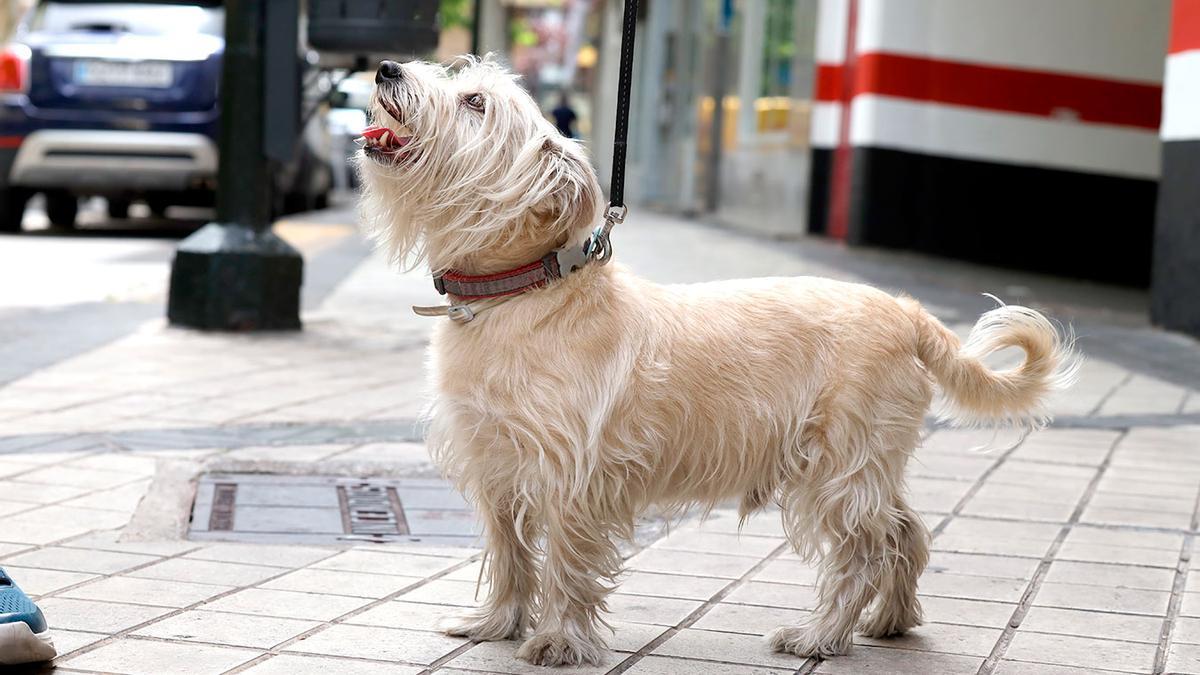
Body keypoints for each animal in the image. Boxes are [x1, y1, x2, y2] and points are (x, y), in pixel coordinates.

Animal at [355, 56, 1080, 662]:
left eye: (474, 101)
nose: (387, 68)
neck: (520, 291)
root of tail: (908, 311)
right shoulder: (496, 467)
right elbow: (508, 555)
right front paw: (496, 624)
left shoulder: (570, 476)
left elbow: (563, 562)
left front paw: (558, 640)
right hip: (867, 465)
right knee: (905, 531)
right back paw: (890, 621)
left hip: (836, 472)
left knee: (863, 552)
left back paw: (821, 635)